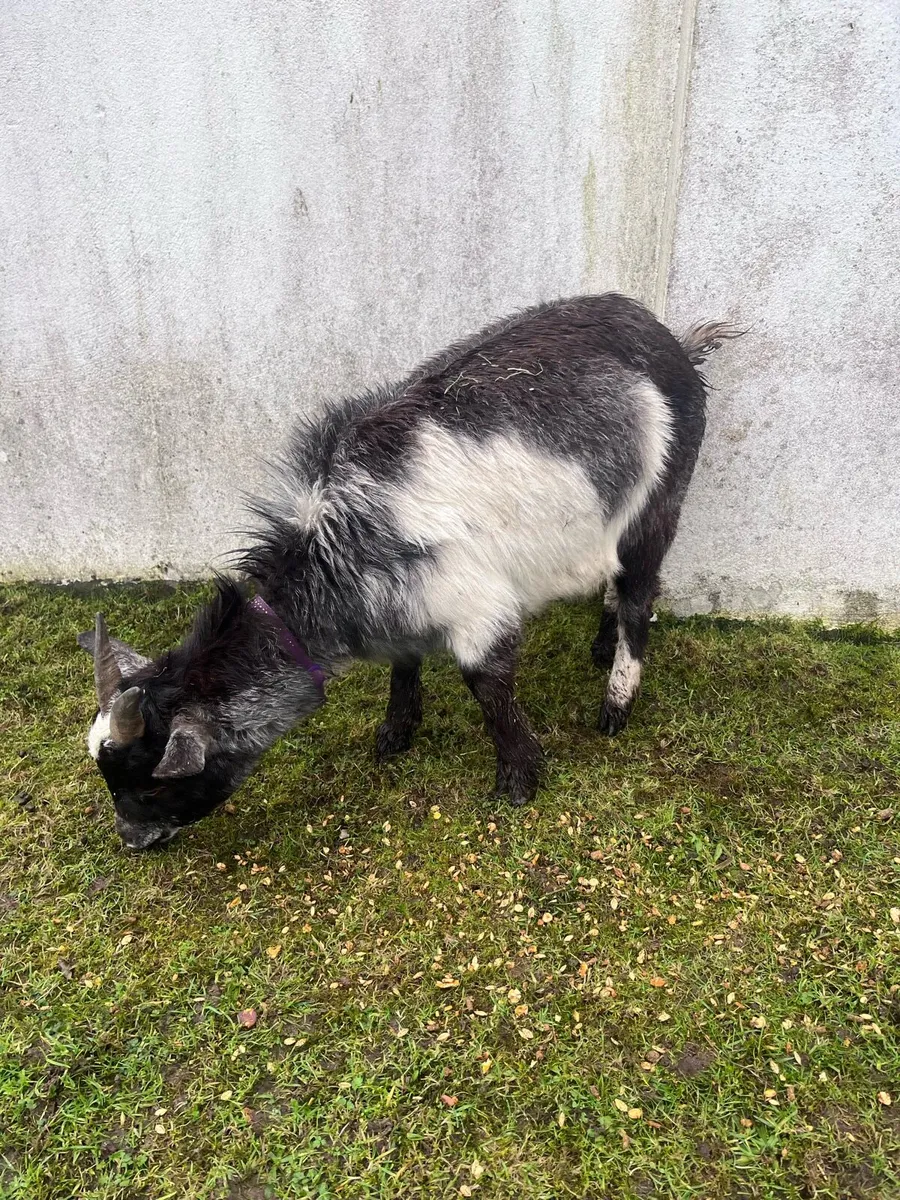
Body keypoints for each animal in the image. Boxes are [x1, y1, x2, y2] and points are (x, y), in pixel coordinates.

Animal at [77, 294, 740, 849]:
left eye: (153, 781)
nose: (132, 842)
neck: (339, 542)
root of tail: (676, 344)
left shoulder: (476, 609)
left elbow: (487, 686)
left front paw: (518, 781)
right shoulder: (407, 598)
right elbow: (405, 663)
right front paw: (395, 735)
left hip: (660, 503)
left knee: (639, 593)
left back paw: (616, 703)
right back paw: (601, 647)